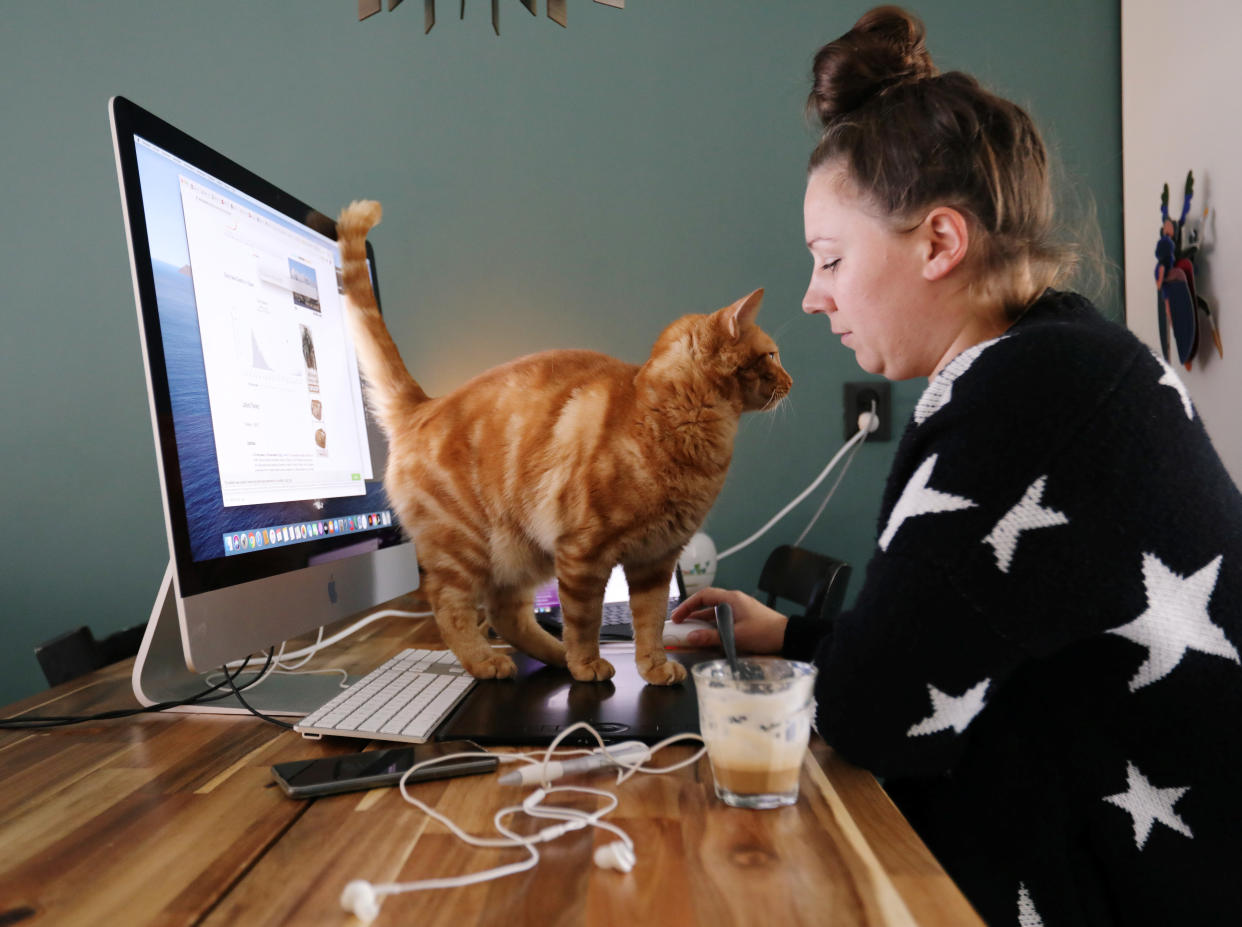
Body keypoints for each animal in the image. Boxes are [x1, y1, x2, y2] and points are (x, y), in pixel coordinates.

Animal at [335, 198, 789, 680]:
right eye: (773, 355)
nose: (791, 380)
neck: (684, 425)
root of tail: (424, 404)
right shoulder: (584, 554)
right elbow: (586, 620)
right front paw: (588, 663)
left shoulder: (656, 559)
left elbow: (650, 622)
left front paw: (652, 668)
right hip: (465, 549)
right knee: (452, 609)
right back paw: (489, 661)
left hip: (521, 553)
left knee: (506, 614)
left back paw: (555, 658)